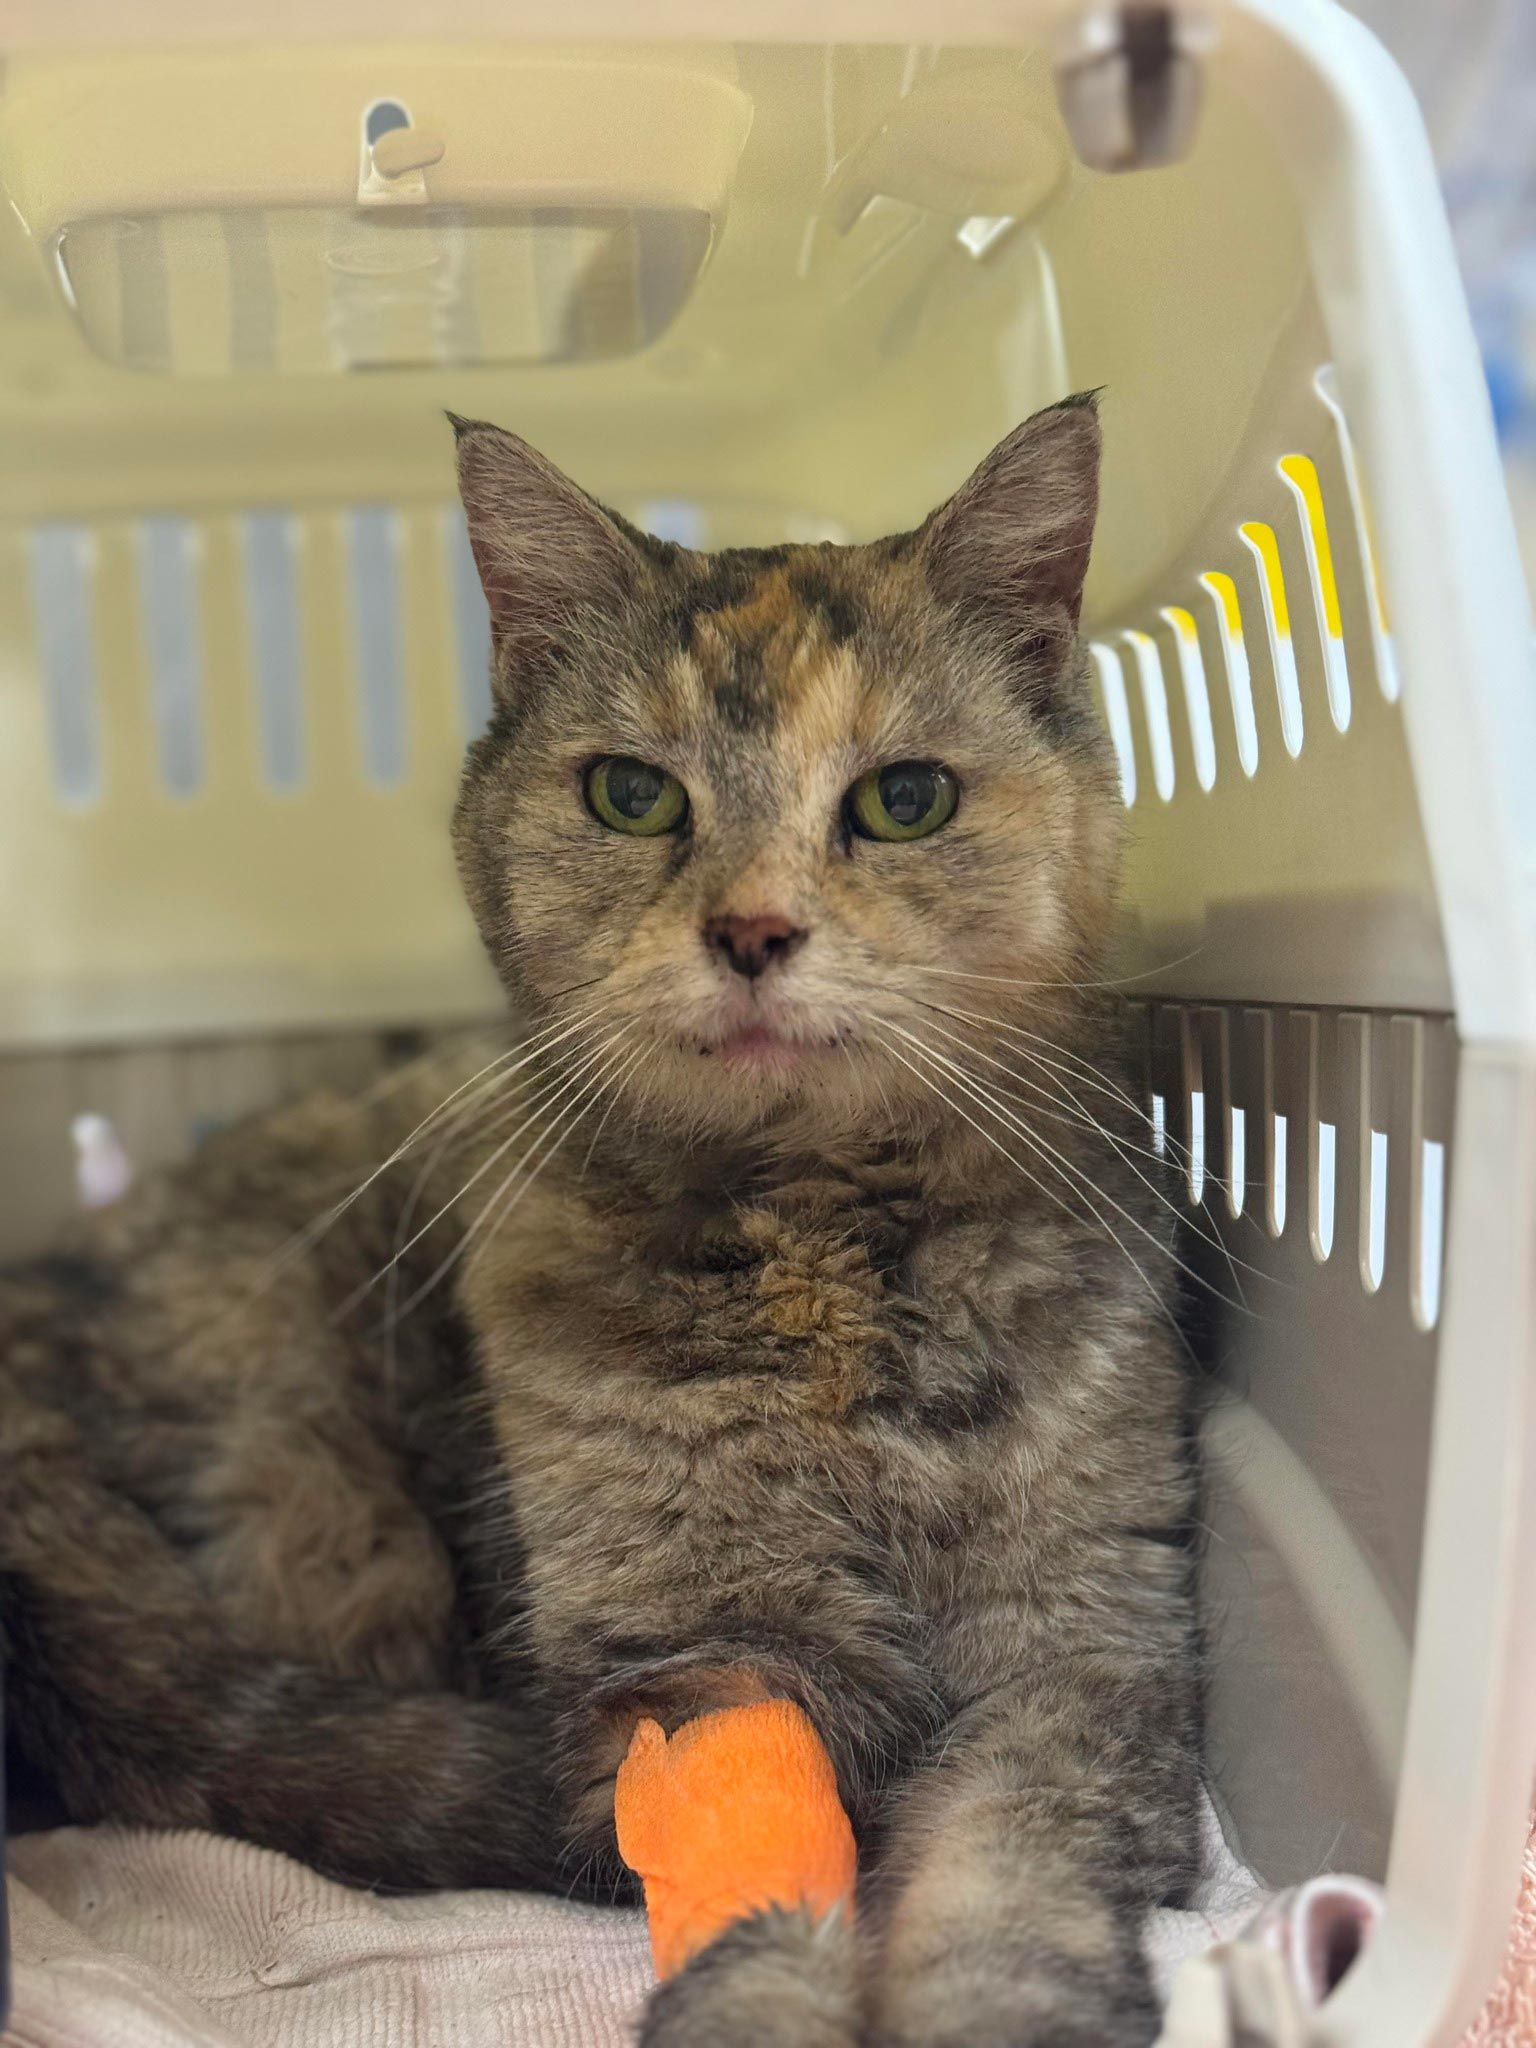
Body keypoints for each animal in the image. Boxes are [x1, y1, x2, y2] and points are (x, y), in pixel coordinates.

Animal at [0, 399, 1204, 2048]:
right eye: (634, 794)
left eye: (906, 800)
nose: (752, 930)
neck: (817, 1253)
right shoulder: (703, 1664)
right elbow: (759, 1869)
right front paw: (763, 2010)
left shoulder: (1080, 1645)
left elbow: (1009, 1873)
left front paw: (993, 2009)